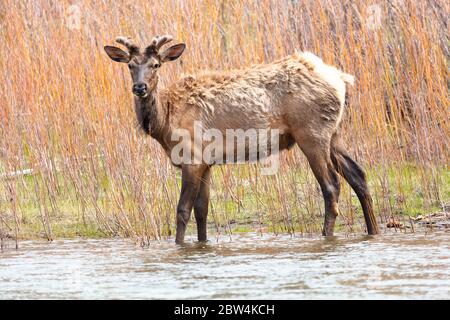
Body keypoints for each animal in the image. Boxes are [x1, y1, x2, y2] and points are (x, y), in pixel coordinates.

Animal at [104, 35, 380, 244]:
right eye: (130, 65)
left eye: (156, 65)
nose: (139, 88)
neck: (164, 121)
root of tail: (341, 79)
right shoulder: (207, 162)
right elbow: (202, 211)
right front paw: (202, 244)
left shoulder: (192, 157)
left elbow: (182, 210)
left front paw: (179, 245)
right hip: (334, 133)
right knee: (358, 175)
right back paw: (373, 231)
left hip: (312, 133)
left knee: (331, 186)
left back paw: (327, 236)